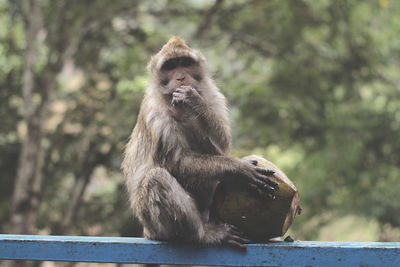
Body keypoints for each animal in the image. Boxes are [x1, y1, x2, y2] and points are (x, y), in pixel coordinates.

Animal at [122, 35, 278, 249]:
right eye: (170, 66)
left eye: (185, 63)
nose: (180, 78)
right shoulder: (154, 115)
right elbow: (176, 162)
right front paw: (240, 169)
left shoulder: (214, 96)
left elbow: (222, 145)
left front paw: (193, 100)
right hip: (155, 226)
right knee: (156, 178)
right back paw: (202, 235)